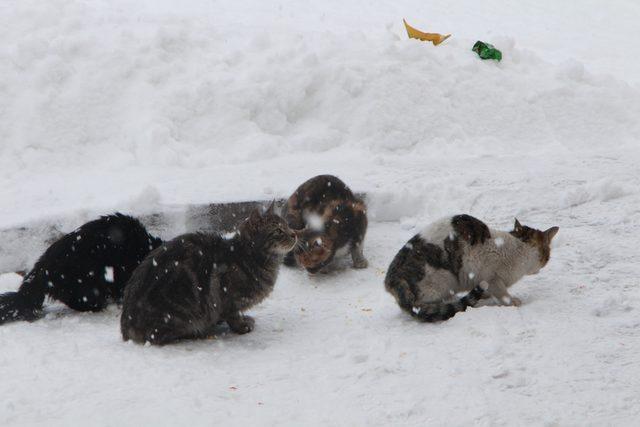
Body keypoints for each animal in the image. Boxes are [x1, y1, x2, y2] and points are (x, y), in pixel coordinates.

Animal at [120, 205, 298, 348]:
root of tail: (126, 325)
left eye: (288, 225)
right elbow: (234, 316)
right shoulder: (229, 300)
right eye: (278, 231)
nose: (295, 234)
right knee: (160, 336)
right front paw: (242, 326)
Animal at [384, 216, 560, 322]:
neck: (519, 247)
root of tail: (391, 281)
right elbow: (503, 295)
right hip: (441, 281)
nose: (540, 268)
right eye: (547, 257)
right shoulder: (491, 278)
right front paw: (512, 301)